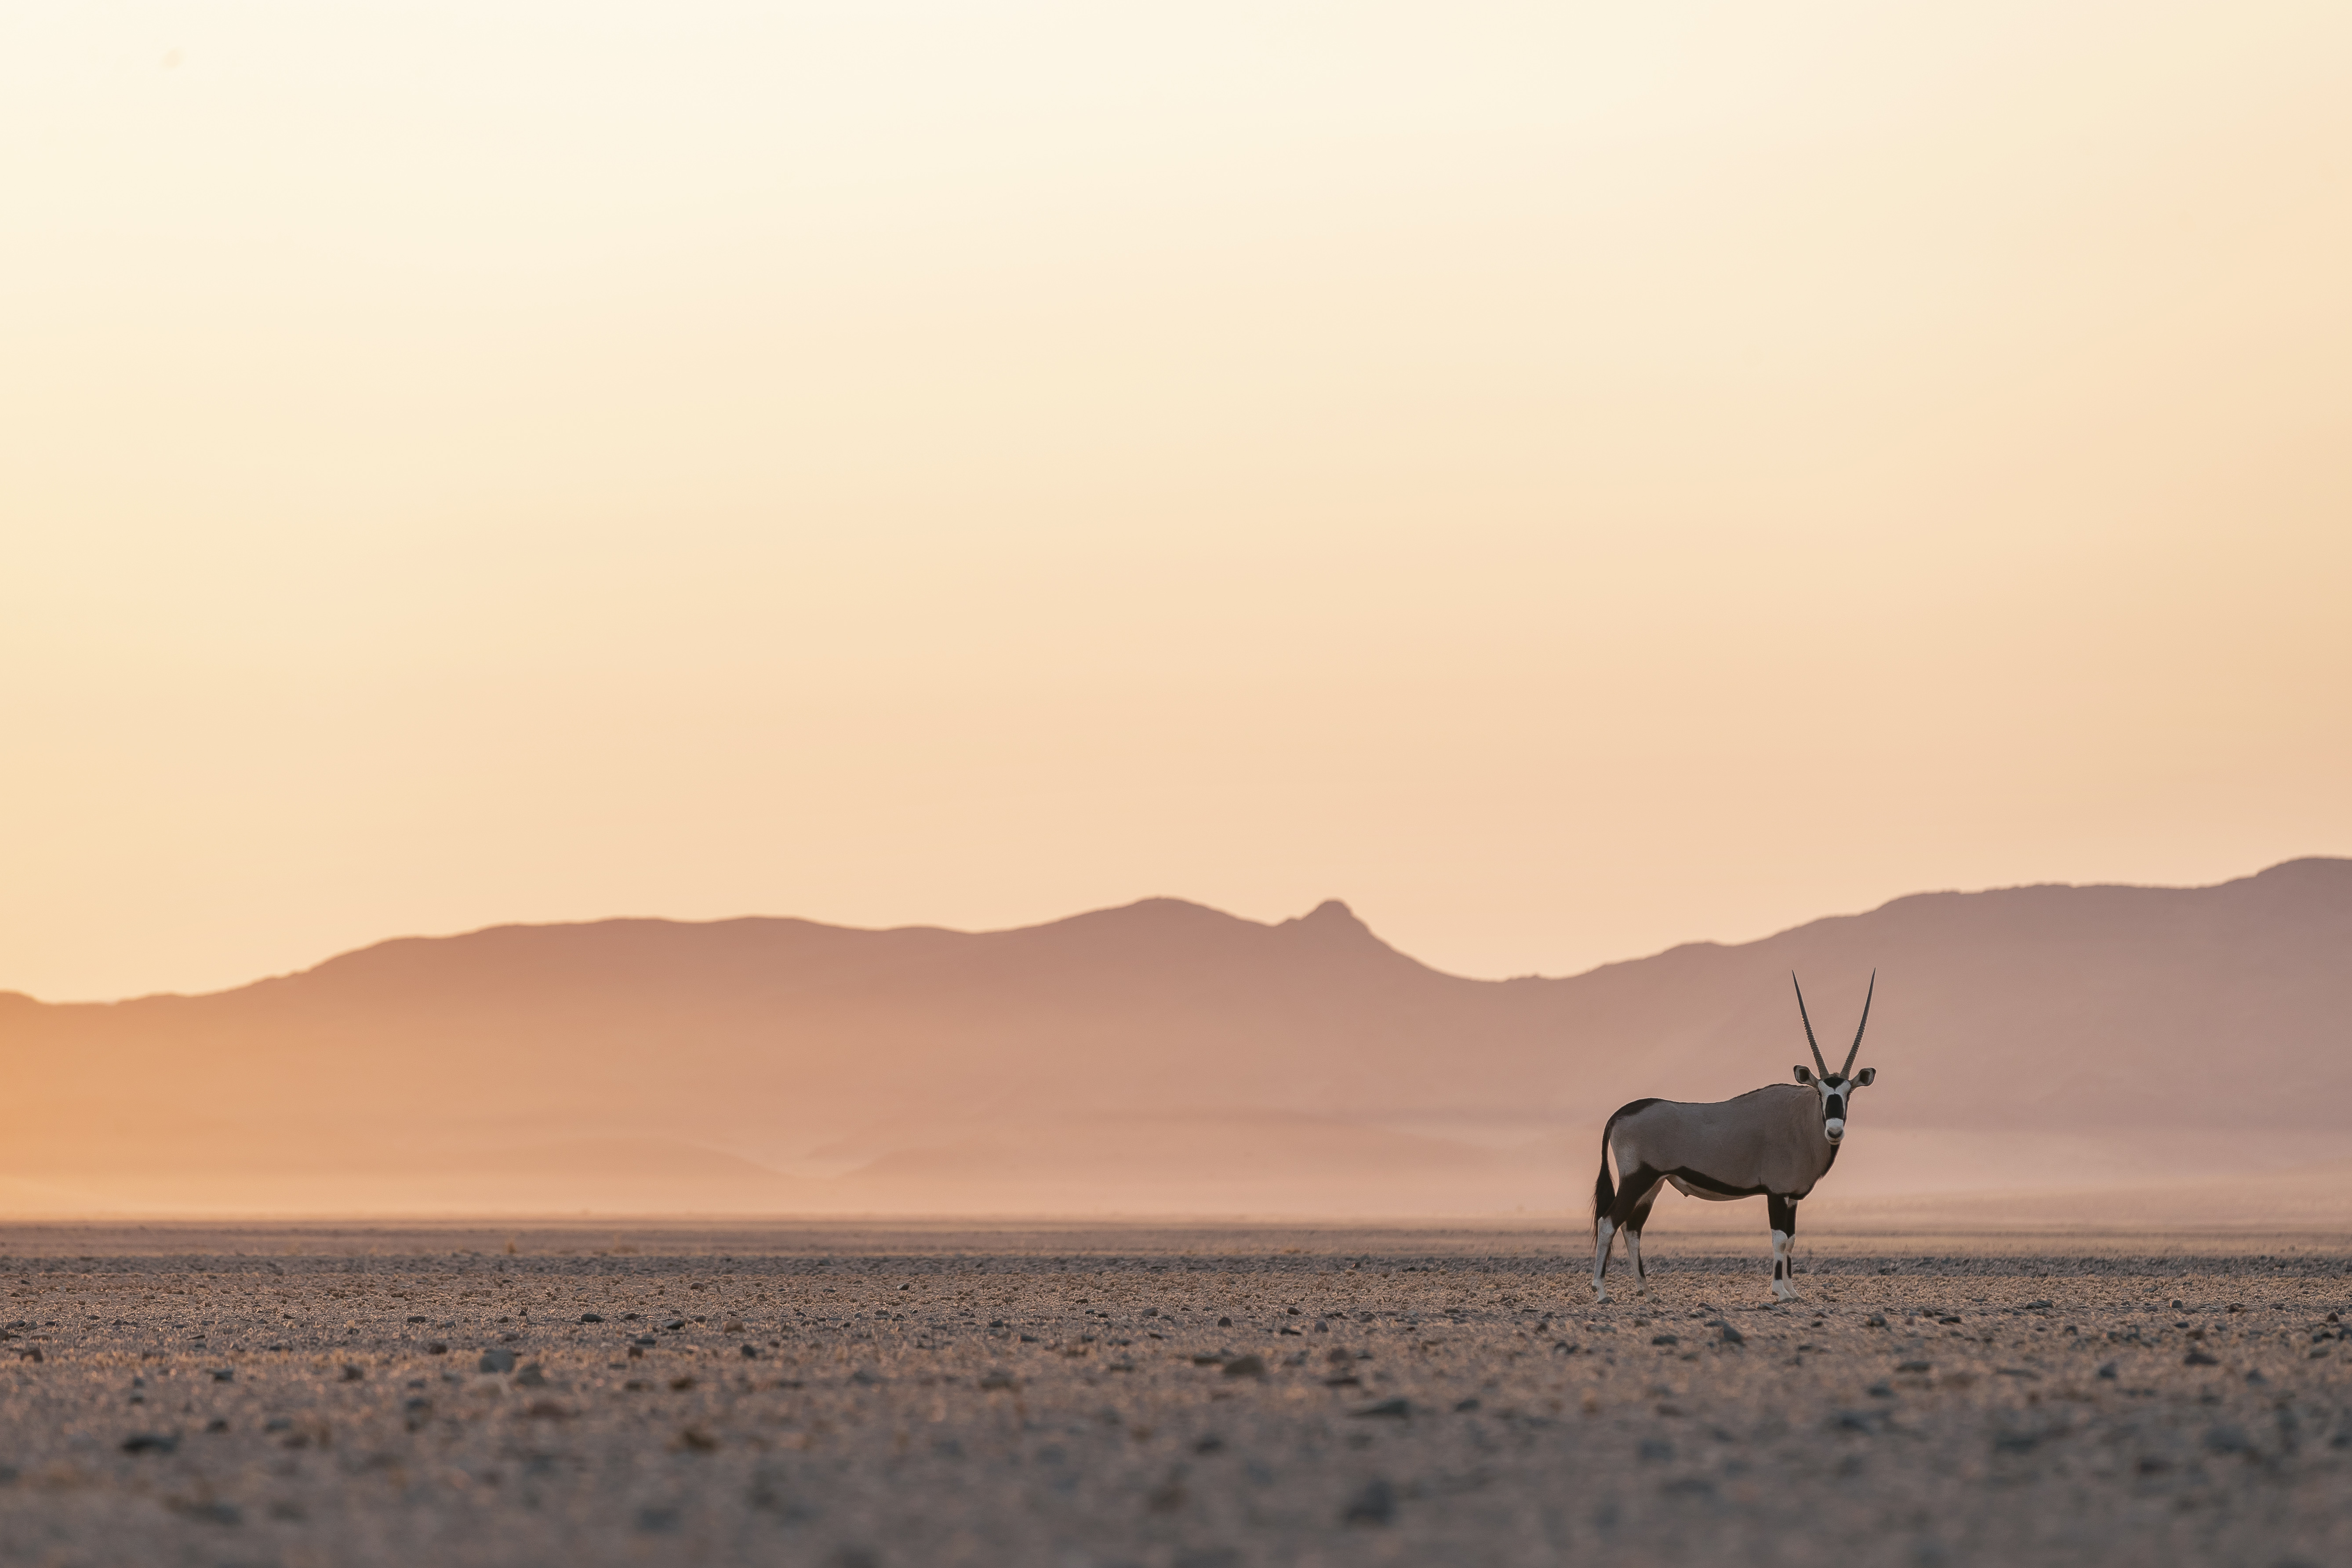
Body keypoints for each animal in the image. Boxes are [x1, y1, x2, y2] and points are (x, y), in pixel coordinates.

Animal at [1591, 972, 1877, 1302]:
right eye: (1821, 1093)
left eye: (1848, 1094)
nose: (1834, 1131)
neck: (1800, 1120)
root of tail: (1619, 1114)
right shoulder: (1776, 1192)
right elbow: (1779, 1239)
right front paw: (1780, 1291)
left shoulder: (1792, 1198)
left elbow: (1792, 1240)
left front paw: (1793, 1291)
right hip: (1636, 1179)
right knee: (1608, 1222)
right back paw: (1601, 1290)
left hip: (1653, 1184)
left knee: (1632, 1229)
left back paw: (1647, 1292)